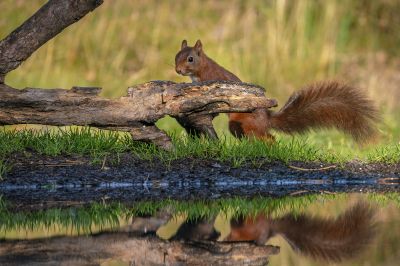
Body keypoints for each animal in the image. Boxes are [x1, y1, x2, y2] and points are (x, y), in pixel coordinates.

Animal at [174, 39, 378, 142]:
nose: (178, 70)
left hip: (243, 123)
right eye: (176, 56)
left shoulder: (211, 78)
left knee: (268, 137)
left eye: (190, 59)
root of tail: (267, 120)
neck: (200, 70)